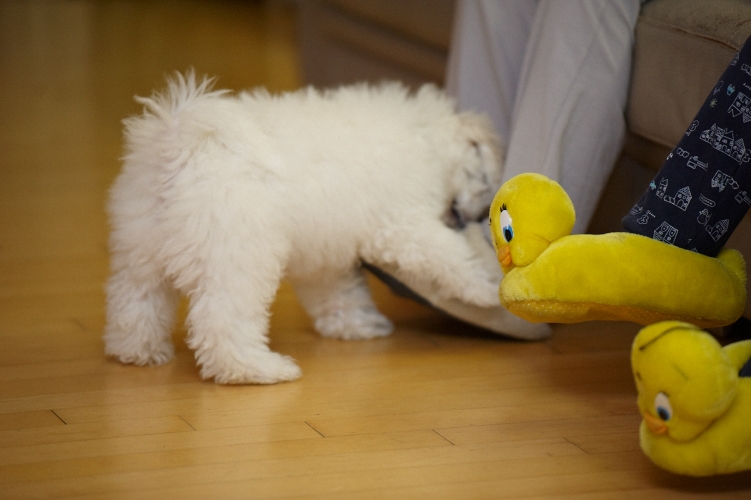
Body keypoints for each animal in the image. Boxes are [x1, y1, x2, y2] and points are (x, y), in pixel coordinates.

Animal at [104, 73, 504, 384]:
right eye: (487, 184)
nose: (476, 216)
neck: (425, 135)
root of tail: (181, 144)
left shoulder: (326, 255)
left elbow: (338, 292)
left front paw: (358, 324)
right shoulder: (402, 225)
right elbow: (449, 256)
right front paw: (485, 287)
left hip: (141, 249)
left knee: (135, 302)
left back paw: (138, 351)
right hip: (237, 257)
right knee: (222, 321)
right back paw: (258, 370)